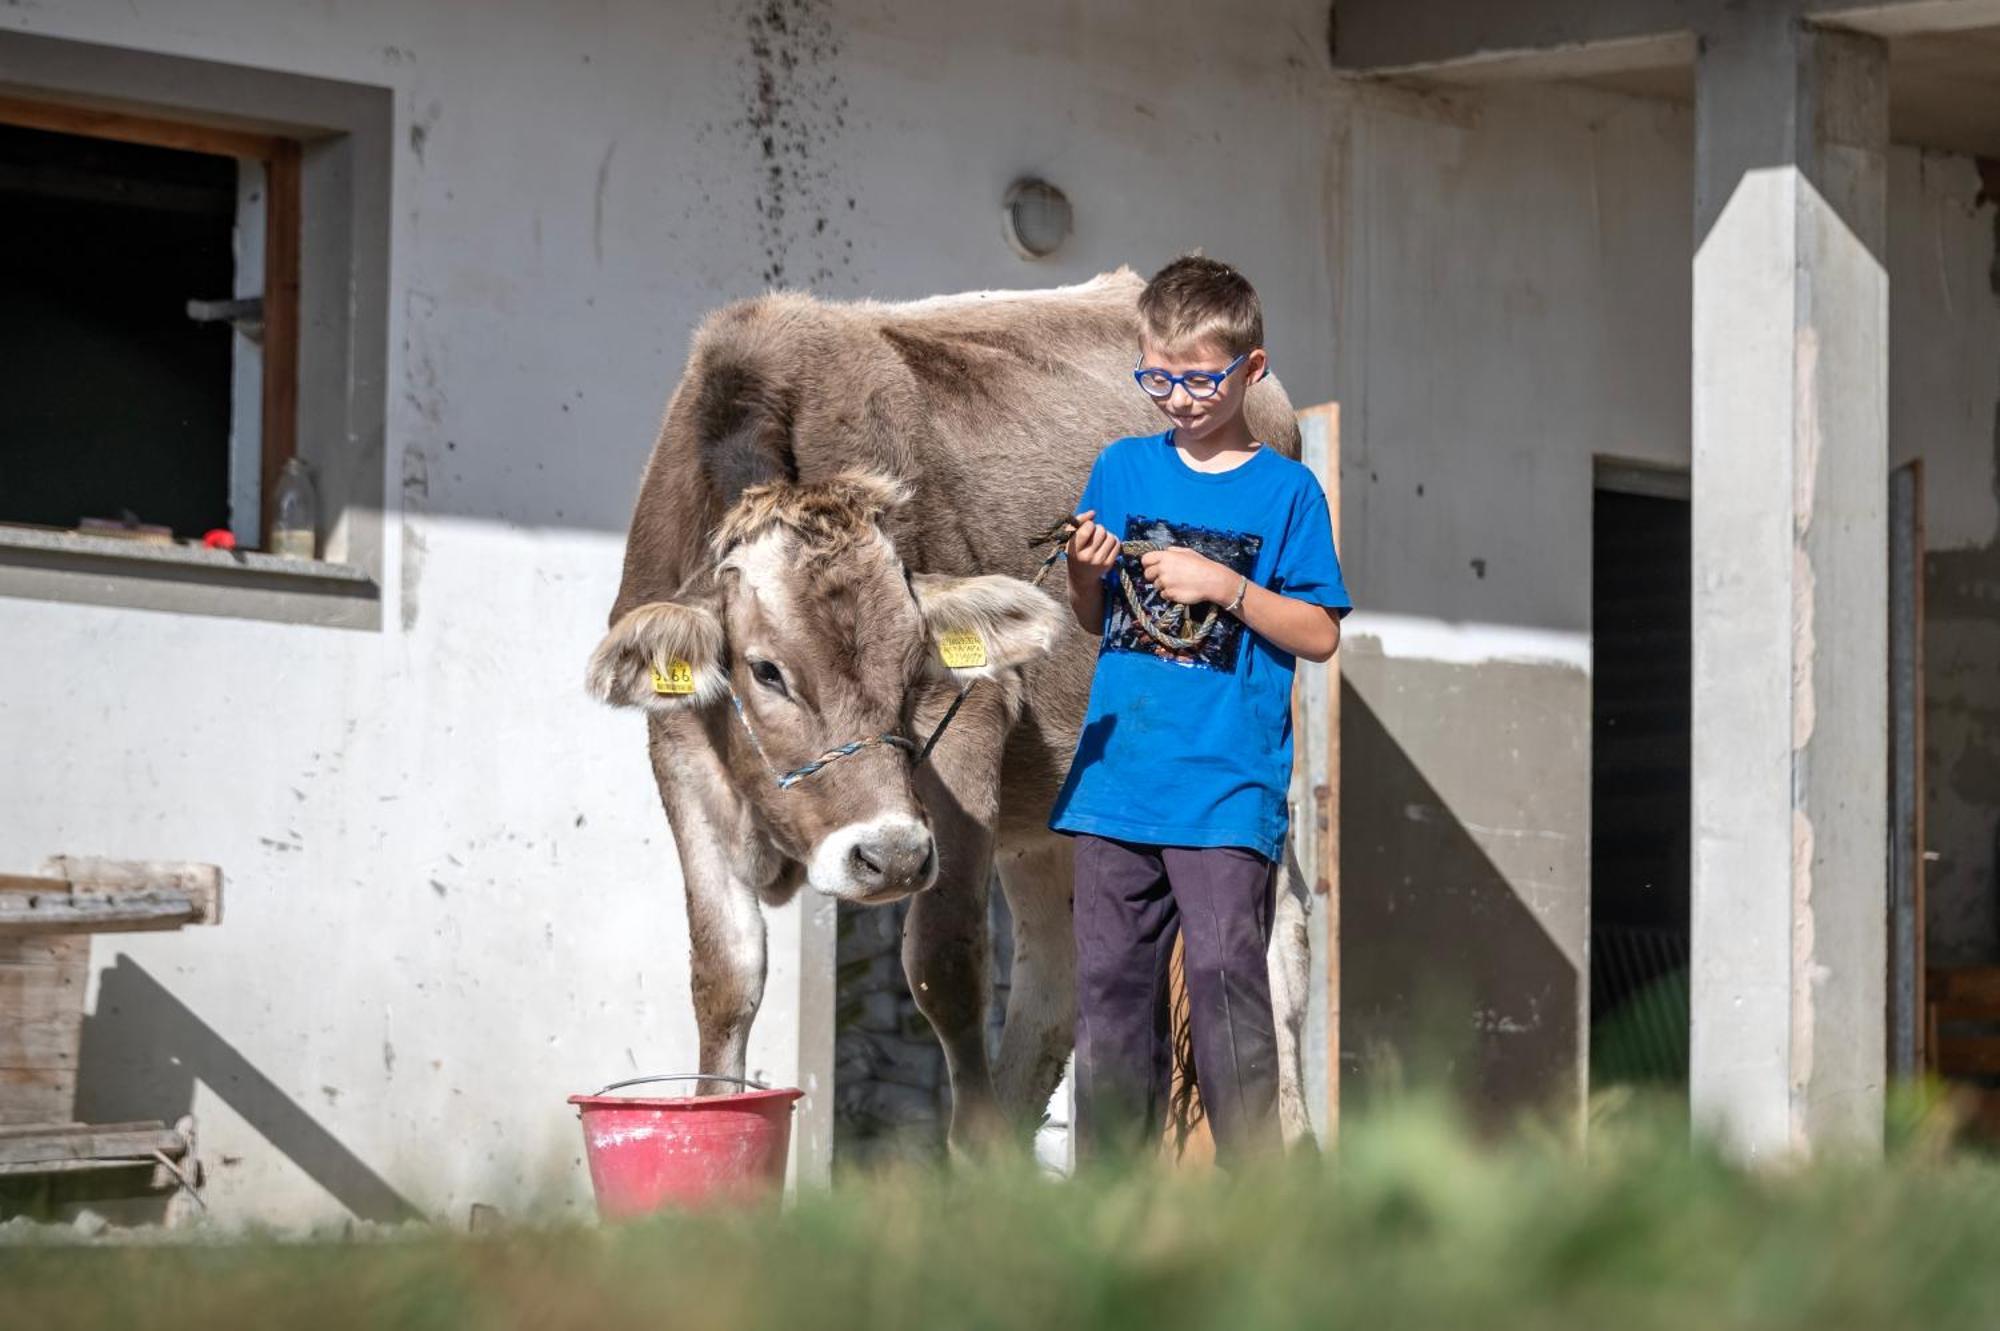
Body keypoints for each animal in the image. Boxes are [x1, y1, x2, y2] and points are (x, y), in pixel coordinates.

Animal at [584, 269, 1320, 1151]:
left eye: (913, 660)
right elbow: (726, 972)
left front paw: (977, 1151)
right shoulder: (680, 747)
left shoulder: (966, 724)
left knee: (1276, 946)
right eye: (765, 670)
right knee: (1060, 977)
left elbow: (944, 959)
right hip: (1051, 814)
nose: (890, 856)